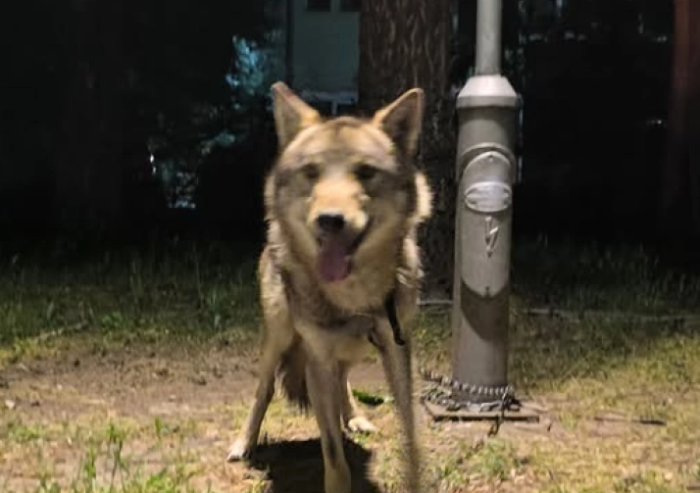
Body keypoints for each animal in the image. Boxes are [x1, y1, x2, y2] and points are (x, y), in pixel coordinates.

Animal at [227, 81, 433, 493]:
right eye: (311, 172)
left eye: (366, 172)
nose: (330, 220)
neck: (356, 298)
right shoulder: (317, 359)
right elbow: (333, 453)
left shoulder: (398, 350)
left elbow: (411, 436)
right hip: (278, 337)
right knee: (264, 390)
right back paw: (245, 443)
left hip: (354, 350)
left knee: (344, 380)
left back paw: (354, 418)